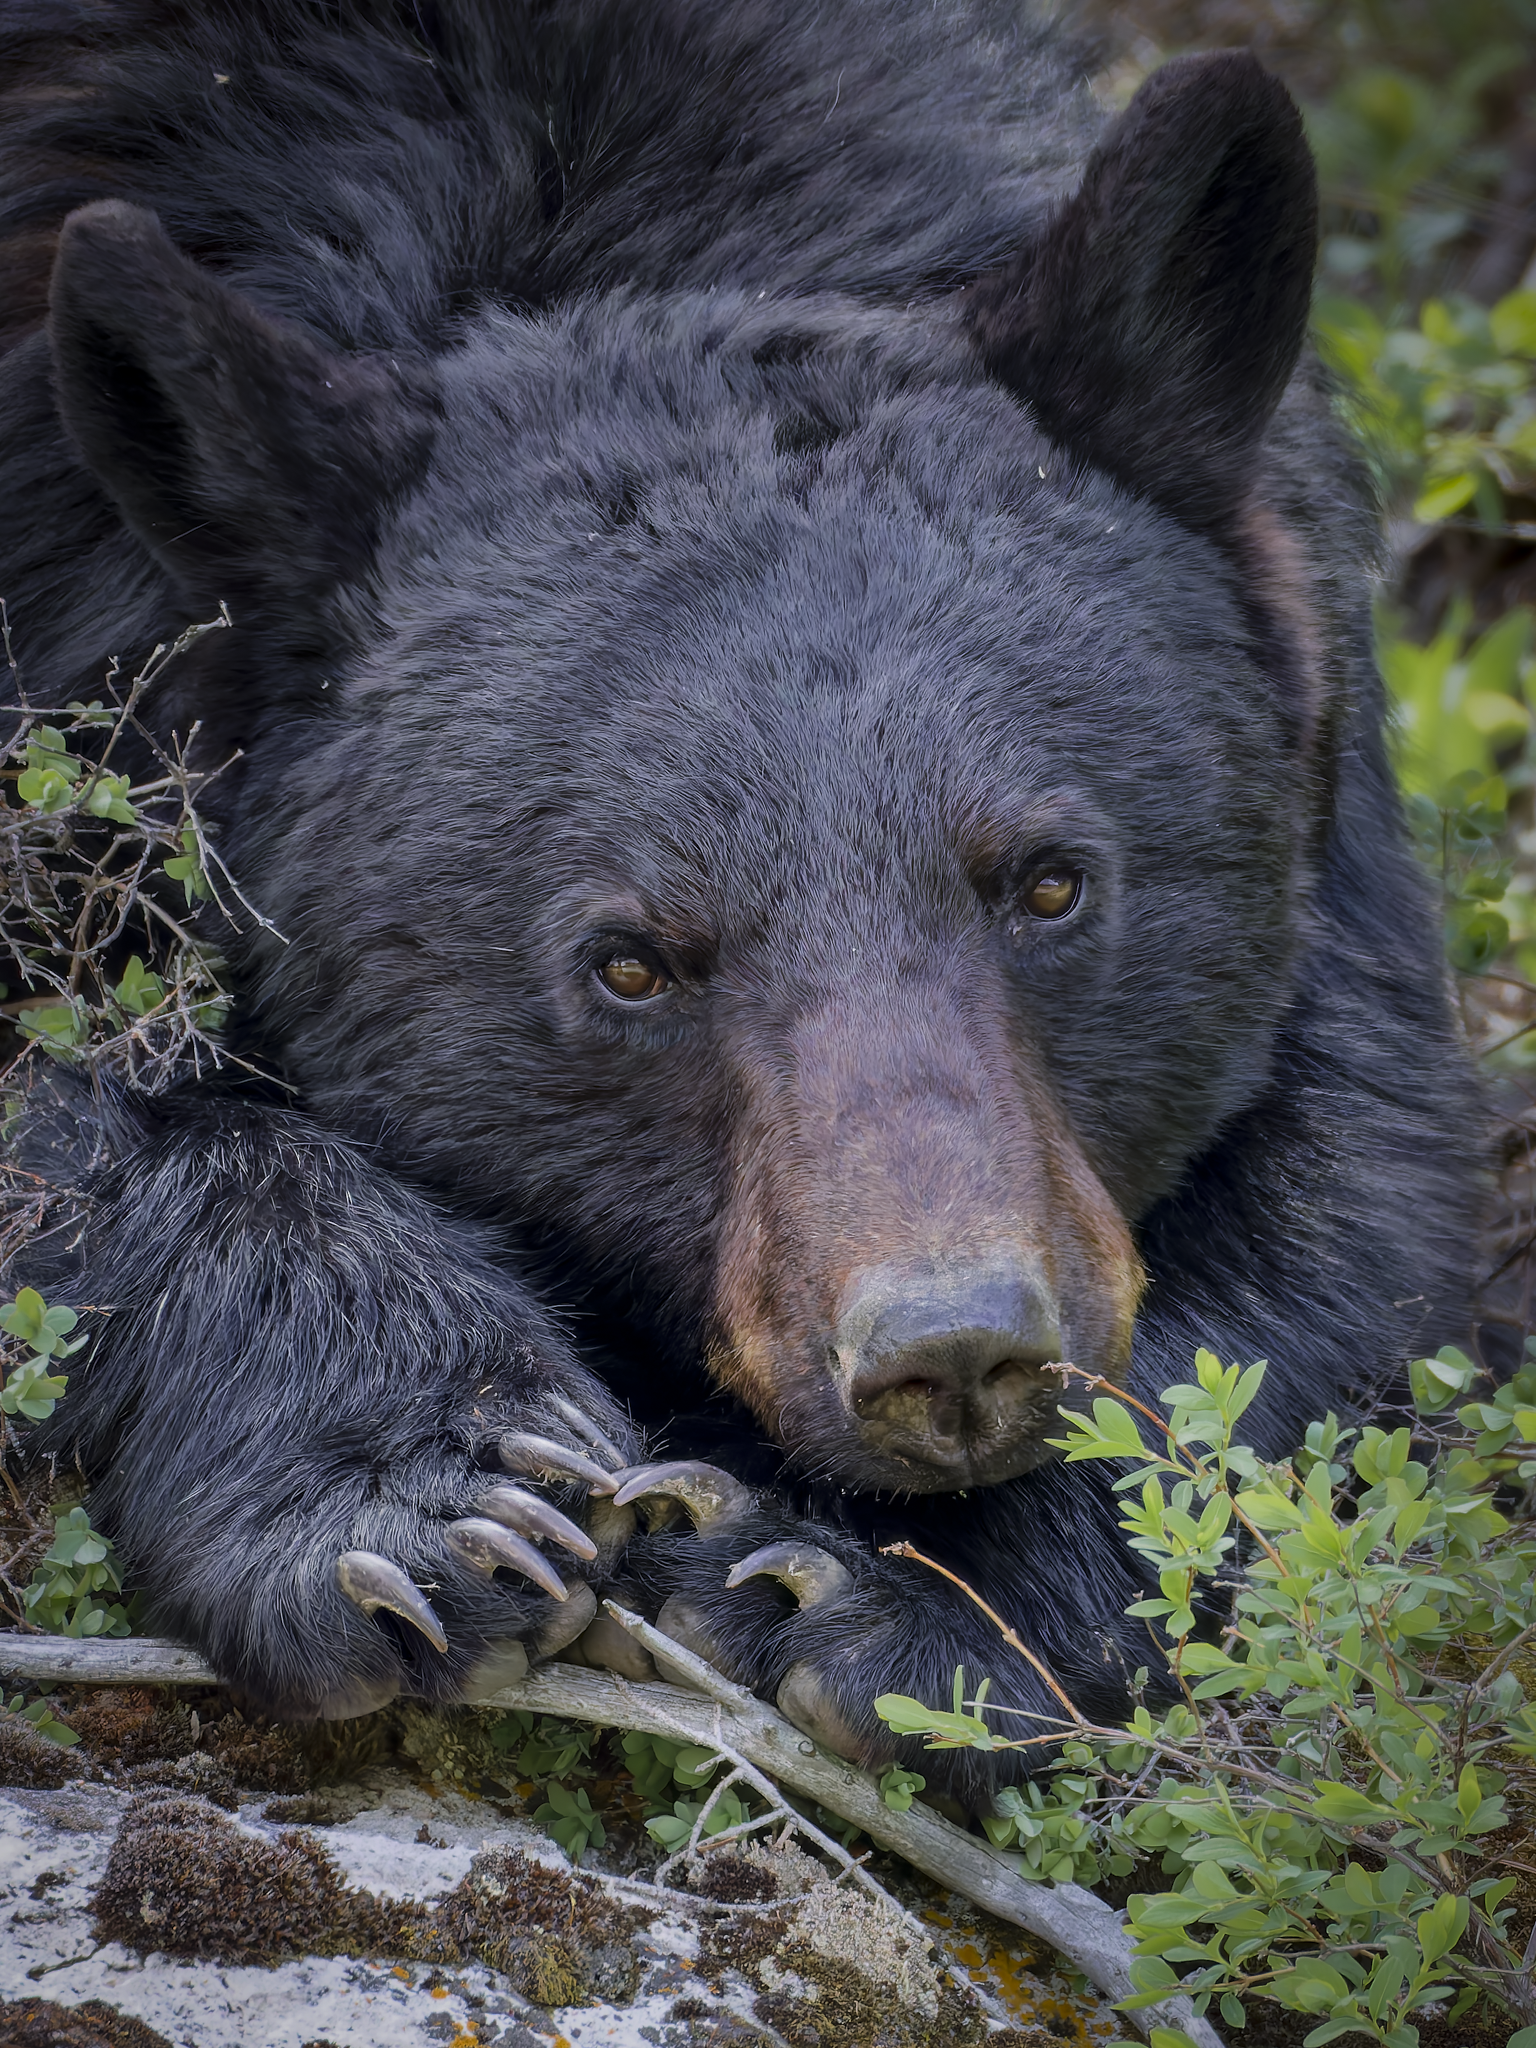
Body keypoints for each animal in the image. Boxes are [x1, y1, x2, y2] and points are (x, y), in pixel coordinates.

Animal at [0, 0, 1479, 1808]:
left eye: (1051, 881)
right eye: (630, 964)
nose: (952, 1351)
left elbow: (1348, 1205)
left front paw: (896, 1594)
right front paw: (424, 1494)